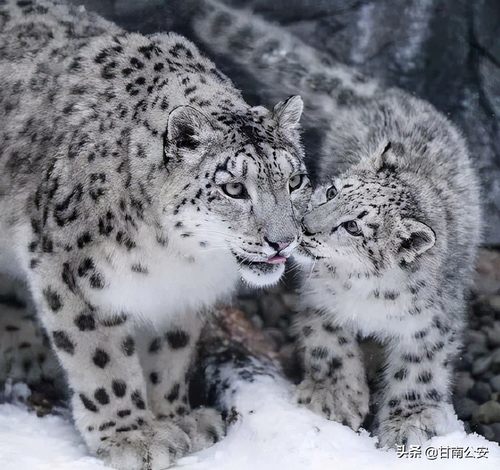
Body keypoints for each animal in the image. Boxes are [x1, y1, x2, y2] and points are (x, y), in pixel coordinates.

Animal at [0, 0, 312, 466]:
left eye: (294, 181)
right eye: (234, 188)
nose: (283, 239)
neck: (176, 258)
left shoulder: (181, 293)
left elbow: (169, 352)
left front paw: (178, 419)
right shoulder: (69, 270)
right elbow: (102, 356)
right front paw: (131, 437)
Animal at [180, 0, 480, 448]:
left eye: (355, 228)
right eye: (333, 191)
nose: (305, 226)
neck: (369, 294)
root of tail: (387, 93)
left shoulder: (430, 323)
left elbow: (419, 371)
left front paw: (409, 423)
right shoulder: (320, 298)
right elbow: (329, 346)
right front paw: (334, 399)